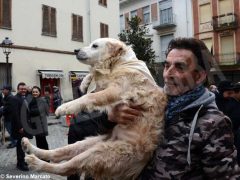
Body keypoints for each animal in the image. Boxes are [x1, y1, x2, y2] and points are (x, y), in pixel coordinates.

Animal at [21, 38, 167, 180]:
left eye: (95, 46)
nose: (76, 50)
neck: (119, 63)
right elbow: (93, 83)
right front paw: (85, 82)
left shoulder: (118, 89)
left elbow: (90, 97)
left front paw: (66, 107)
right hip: (90, 142)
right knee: (60, 153)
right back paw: (31, 148)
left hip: (100, 153)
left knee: (66, 167)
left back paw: (36, 162)